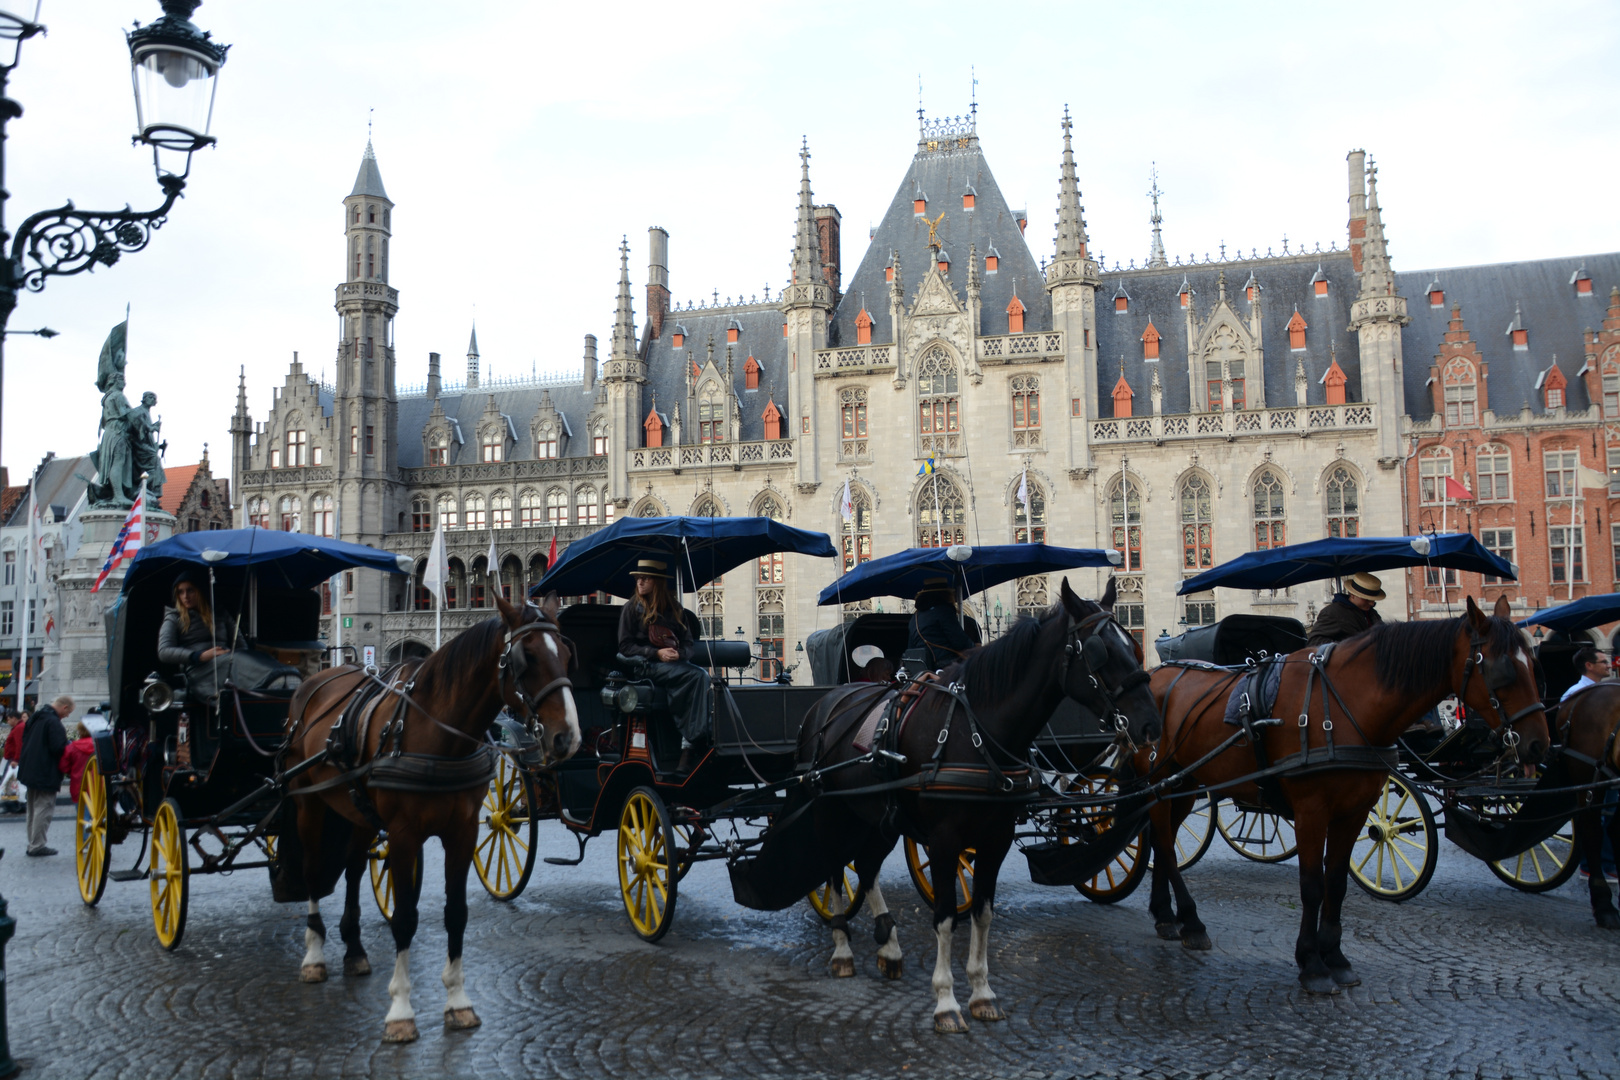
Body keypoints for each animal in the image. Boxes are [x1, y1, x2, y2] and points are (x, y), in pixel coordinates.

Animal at [281, 595, 579, 1042]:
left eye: (566, 654)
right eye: (525, 659)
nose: (568, 737)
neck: (441, 735)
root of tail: (315, 680)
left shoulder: (463, 831)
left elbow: (456, 913)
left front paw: (458, 1003)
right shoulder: (404, 835)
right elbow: (405, 918)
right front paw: (401, 1011)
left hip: (358, 811)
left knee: (353, 868)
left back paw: (355, 950)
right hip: (310, 804)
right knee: (315, 871)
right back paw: (314, 956)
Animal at [780, 579, 1153, 1036]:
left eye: (1134, 645)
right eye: (1100, 651)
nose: (1150, 723)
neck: (977, 730)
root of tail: (824, 704)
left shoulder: (996, 838)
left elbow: (982, 912)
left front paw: (982, 994)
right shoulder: (944, 841)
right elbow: (944, 916)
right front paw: (945, 1002)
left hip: (879, 817)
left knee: (866, 868)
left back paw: (889, 946)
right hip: (833, 811)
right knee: (836, 870)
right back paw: (842, 952)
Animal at [1134, 599, 1548, 997]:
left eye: (1535, 664)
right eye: (1501, 670)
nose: (1538, 745)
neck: (1346, 705)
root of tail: (1156, 673)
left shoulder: (1354, 811)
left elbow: (1336, 882)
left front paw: (1335, 957)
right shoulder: (1311, 812)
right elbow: (1311, 885)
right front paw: (1312, 965)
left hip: (1185, 784)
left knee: (1160, 839)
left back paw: (1166, 916)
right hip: (1161, 783)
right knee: (1166, 846)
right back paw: (1191, 921)